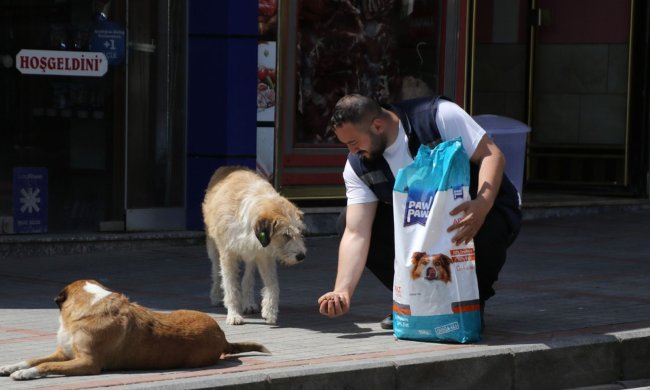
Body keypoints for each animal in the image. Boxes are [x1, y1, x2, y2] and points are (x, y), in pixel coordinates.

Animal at [0, 280, 268, 380]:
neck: (90, 306)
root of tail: (223, 337)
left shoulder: (87, 363)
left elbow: (46, 365)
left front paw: (26, 374)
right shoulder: (63, 353)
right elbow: (32, 358)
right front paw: (12, 366)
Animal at [201, 167, 306, 326]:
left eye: (300, 232)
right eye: (286, 234)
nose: (301, 256)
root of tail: (228, 167)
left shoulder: (265, 255)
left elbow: (273, 285)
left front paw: (270, 311)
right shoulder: (227, 255)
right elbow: (230, 286)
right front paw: (233, 314)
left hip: (251, 255)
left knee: (248, 278)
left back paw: (248, 303)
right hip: (213, 247)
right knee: (216, 271)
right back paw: (216, 296)